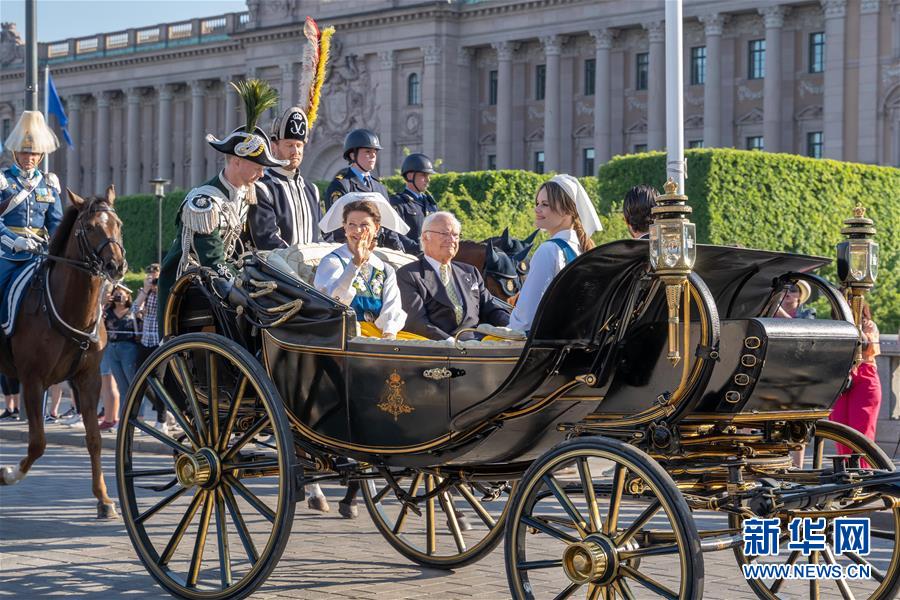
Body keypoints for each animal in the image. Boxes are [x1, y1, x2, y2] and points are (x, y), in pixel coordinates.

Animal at [0, 185, 126, 516]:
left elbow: (94, 438)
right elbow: (38, 443)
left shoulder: (88, 379)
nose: (117, 266)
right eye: (90, 227)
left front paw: (103, 499)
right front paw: (8, 474)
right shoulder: (32, 381)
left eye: (119, 224)